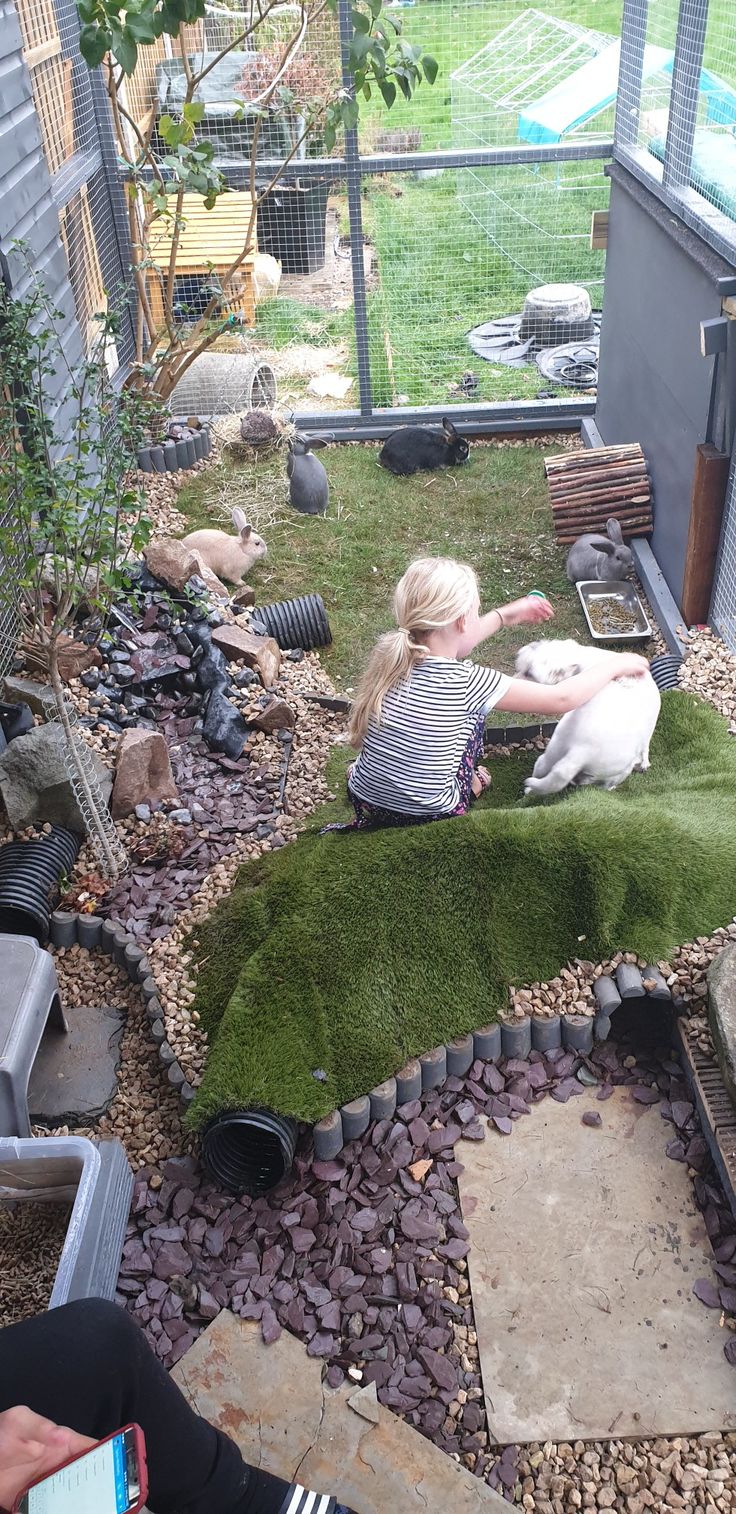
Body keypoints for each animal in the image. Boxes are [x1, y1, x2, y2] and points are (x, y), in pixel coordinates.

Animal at [514, 638, 663, 799]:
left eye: (528, 673)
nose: (515, 679)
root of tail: (581, 751)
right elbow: (645, 749)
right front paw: (644, 763)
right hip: (620, 771)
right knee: (607, 785)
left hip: (550, 756)